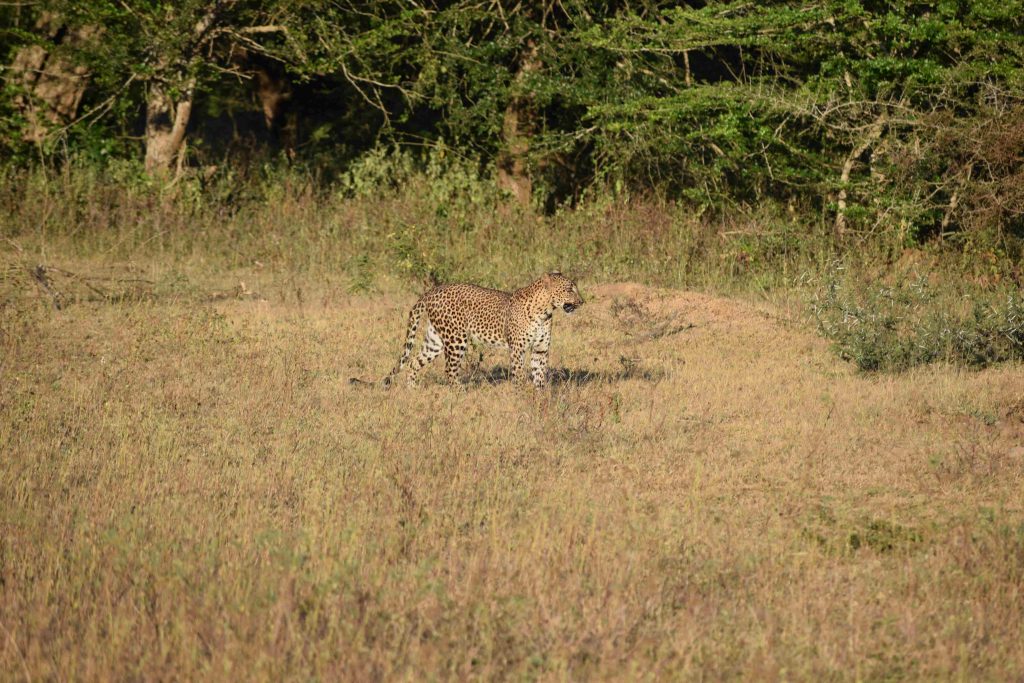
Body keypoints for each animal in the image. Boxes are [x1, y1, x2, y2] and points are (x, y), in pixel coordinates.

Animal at [352, 272, 584, 388]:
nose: (582, 301)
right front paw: (522, 395)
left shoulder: (540, 350)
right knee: (449, 370)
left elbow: (539, 374)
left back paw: (412, 391)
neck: (545, 311)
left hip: (435, 340)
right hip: (456, 339)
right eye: (569, 289)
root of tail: (431, 291)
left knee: (413, 362)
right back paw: (459, 392)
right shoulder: (517, 349)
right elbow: (519, 374)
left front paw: (539, 397)